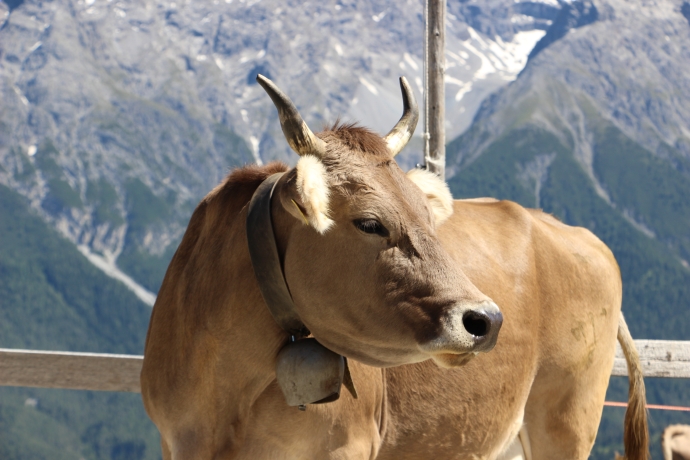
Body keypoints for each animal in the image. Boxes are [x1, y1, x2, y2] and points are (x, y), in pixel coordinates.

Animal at [140, 75, 648, 460]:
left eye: (427, 217)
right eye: (370, 222)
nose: (486, 320)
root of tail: (571, 231)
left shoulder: (347, 447)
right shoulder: (173, 442)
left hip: (567, 420)